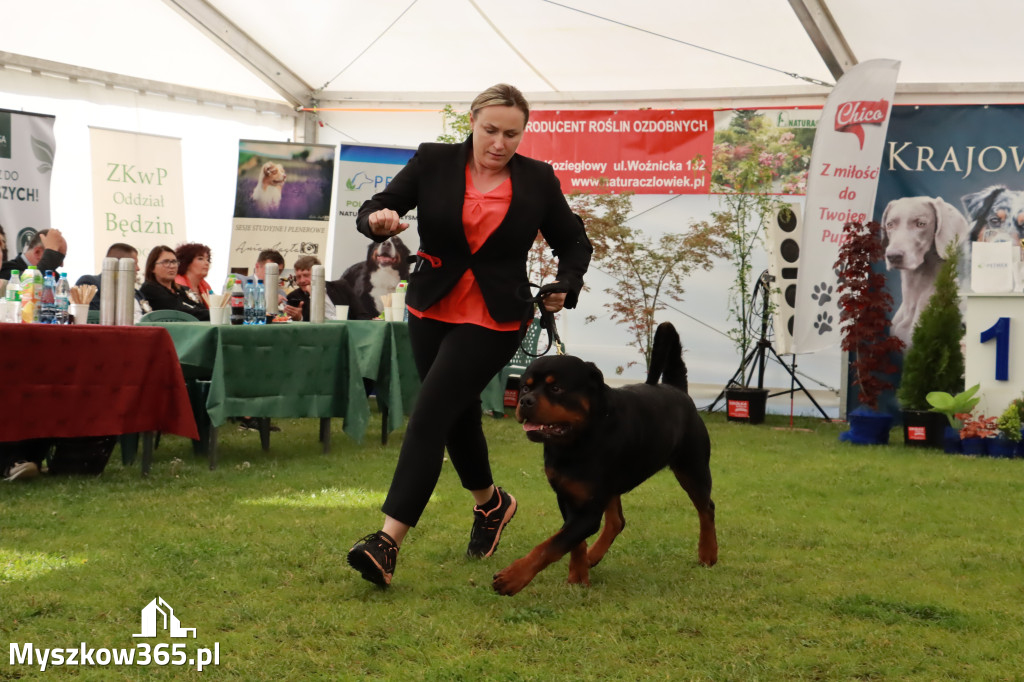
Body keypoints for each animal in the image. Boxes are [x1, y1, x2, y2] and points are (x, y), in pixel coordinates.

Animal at [491, 321, 716, 593]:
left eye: (556, 388)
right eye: (525, 386)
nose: (524, 400)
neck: (576, 442)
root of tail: (678, 390)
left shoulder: (588, 509)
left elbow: (551, 545)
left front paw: (513, 576)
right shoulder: (568, 496)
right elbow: (573, 541)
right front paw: (578, 576)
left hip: (692, 468)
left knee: (706, 508)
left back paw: (708, 553)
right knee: (617, 521)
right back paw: (593, 556)